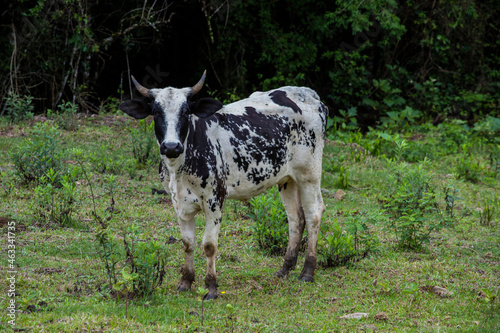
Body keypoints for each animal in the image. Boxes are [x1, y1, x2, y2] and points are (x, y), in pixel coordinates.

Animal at [118, 70, 328, 298]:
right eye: (156, 112)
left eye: (186, 112)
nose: (171, 146)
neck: (179, 168)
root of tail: (309, 94)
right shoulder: (179, 204)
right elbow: (187, 244)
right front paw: (185, 281)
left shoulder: (214, 201)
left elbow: (209, 245)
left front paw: (211, 286)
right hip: (287, 179)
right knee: (295, 219)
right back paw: (285, 268)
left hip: (309, 175)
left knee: (314, 214)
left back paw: (307, 271)